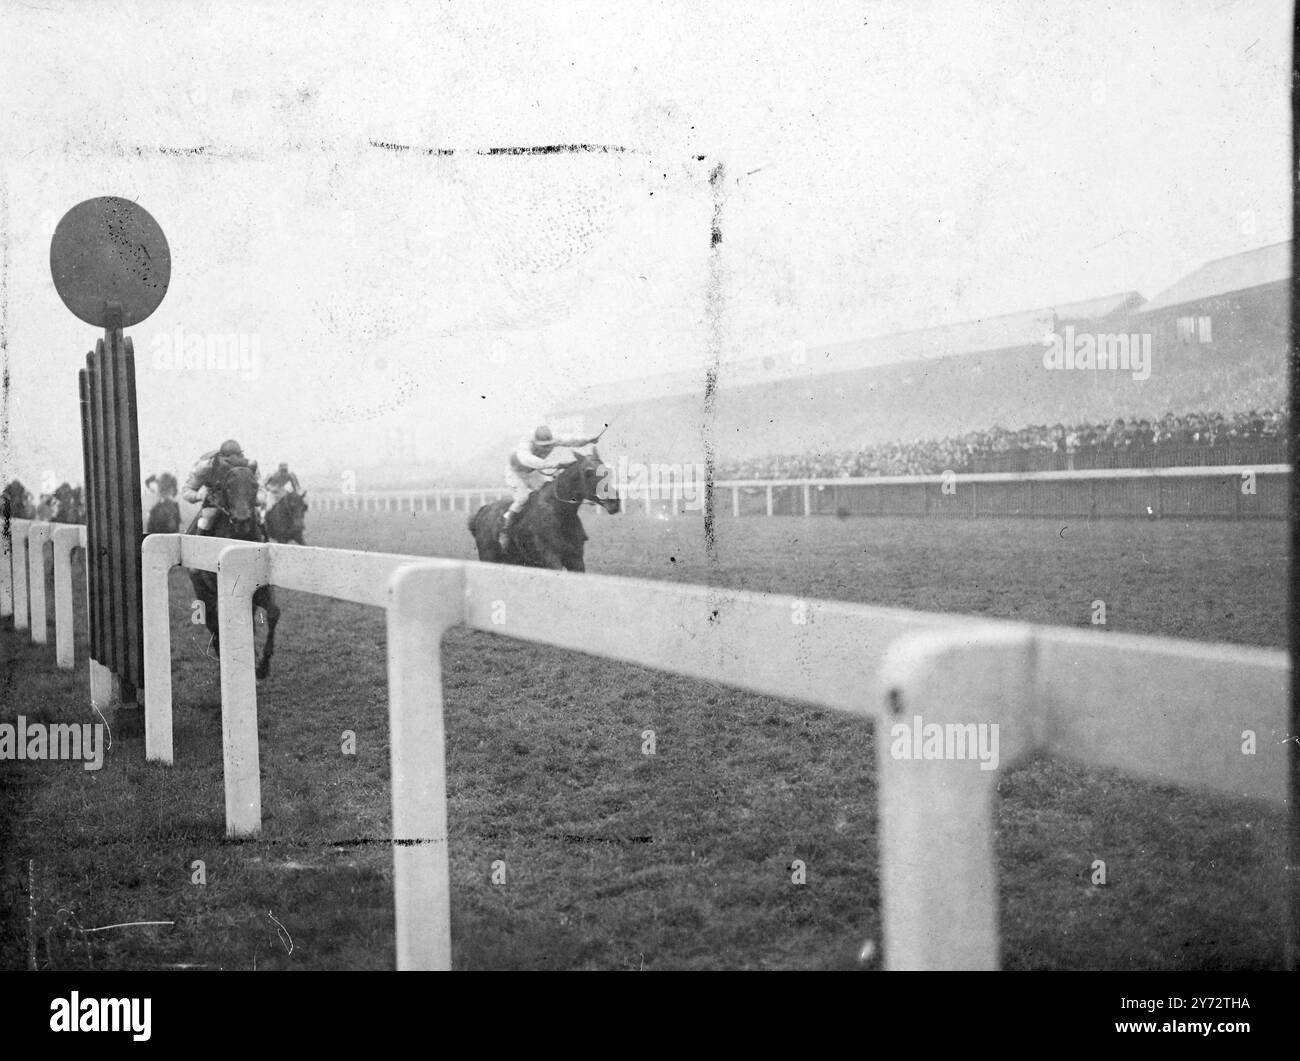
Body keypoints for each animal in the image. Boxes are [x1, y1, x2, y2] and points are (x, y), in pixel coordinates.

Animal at [185, 462, 279, 681]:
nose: (242, 520)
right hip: (204, 593)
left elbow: (273, 613)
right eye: (227, 487)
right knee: (214, 626)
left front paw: (263, 666)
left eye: (254, 486)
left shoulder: (259, 591)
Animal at [467, 444, 618, 572]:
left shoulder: (576, 559)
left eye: (608, 470)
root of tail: (483, 510)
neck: (560, 513)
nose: (614, 502)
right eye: (588, 472)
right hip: (488, 557)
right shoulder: (550, 557)